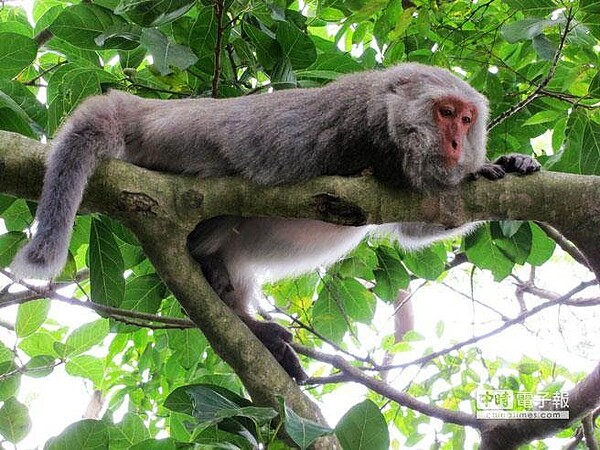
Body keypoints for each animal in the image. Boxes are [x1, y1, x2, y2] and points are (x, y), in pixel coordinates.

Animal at [9, 62, 540, 380]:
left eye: (467, 119)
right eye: (445, 112)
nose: (456, 144)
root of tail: (147, 108)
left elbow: (421, 224)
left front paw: (509, 164)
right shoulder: (369, 132)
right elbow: (394, 195)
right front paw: (476, 171)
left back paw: (246, 320)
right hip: (181, 145)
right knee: (224, 195)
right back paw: (203, 256)